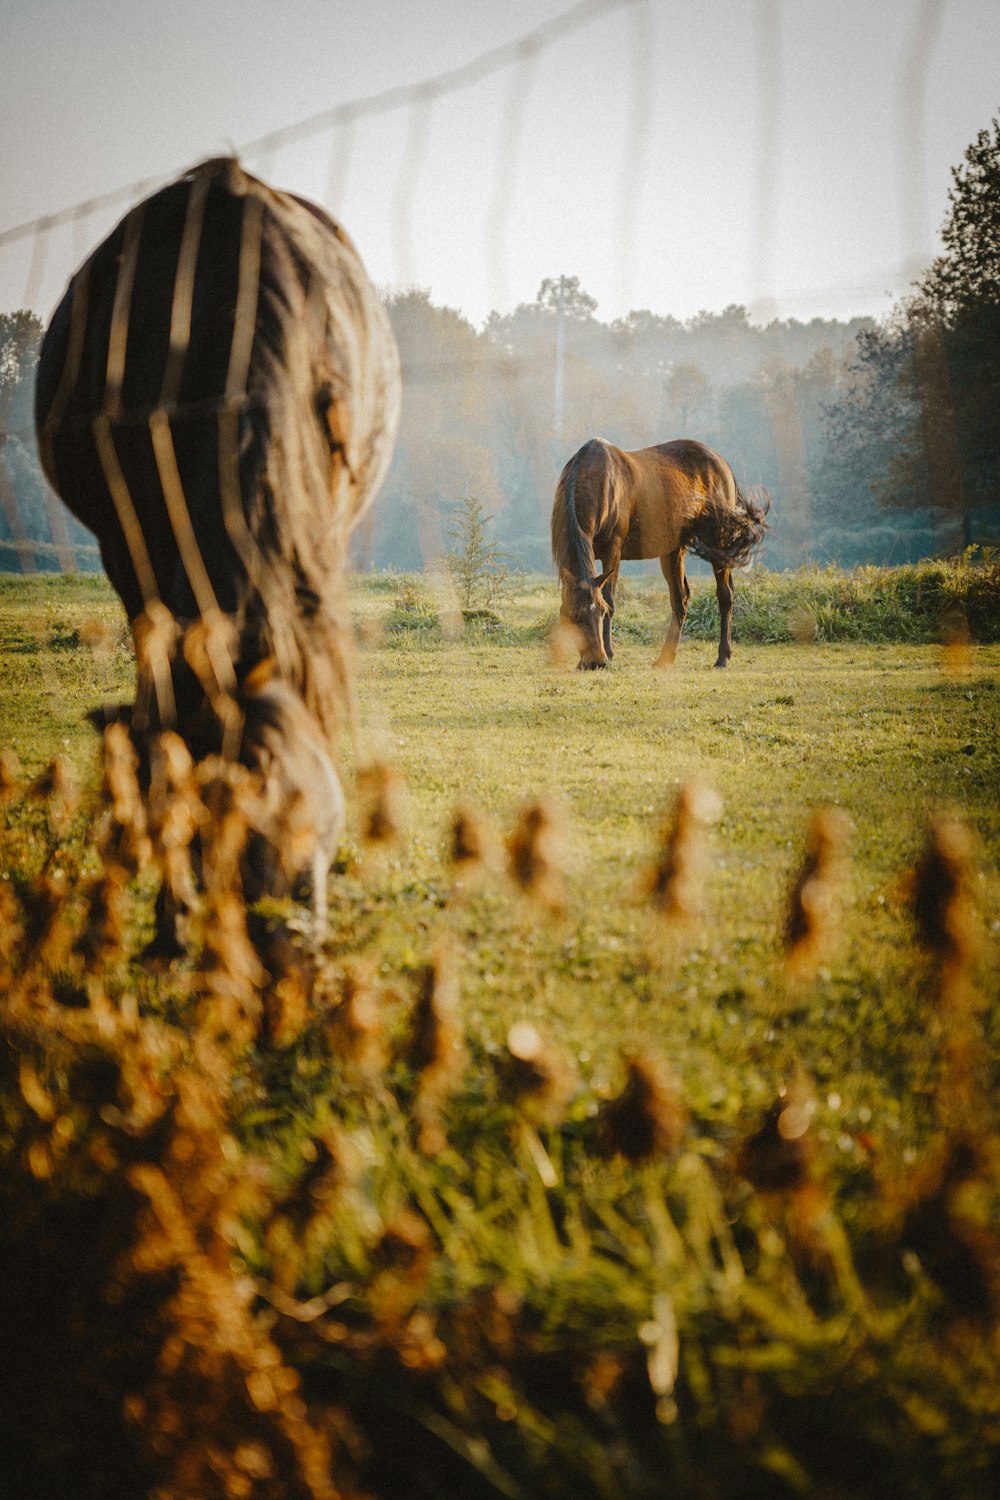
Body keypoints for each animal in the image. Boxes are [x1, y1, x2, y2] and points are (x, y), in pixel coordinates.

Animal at [551, 435, 773, 669]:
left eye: (601, 613)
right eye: (575, 615)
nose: (596, 662)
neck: (592, 478)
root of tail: (722, 463)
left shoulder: (613, 549)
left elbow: (609, 598)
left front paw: (610, 652)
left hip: (718, 541)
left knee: (725, 594)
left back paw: (722, 657)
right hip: (673, 550)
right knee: (680, 598)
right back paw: (666, 657)